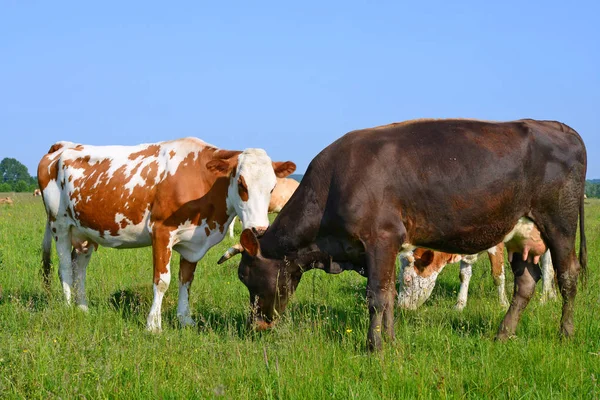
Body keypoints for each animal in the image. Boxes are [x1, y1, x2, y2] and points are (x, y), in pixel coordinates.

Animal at [37, 138, 296, 332]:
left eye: (272, 187)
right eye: (242, 184)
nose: (259, 229)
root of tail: (62, 146)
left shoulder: (194, 242)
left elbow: (186, 280)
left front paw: (185, 319)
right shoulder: (161, 232)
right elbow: (162, 281)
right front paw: (153, 325)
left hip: (86, 232)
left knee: (79, 266)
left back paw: (82, 307)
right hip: (59, 224)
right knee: (65, 268)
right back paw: (68, 307)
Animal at [219, 118, 584, 350]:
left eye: (246, 276)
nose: (256, 326)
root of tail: (558, 126)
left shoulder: (380, 239)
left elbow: (377, 296)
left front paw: (375, 347)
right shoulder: (385, 247)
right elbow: (389, 295)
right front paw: (391, 342)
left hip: (560, 222)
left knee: (567, 274)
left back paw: (566, 334)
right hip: (521, 234)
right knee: (527, 281)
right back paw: (503, 334)